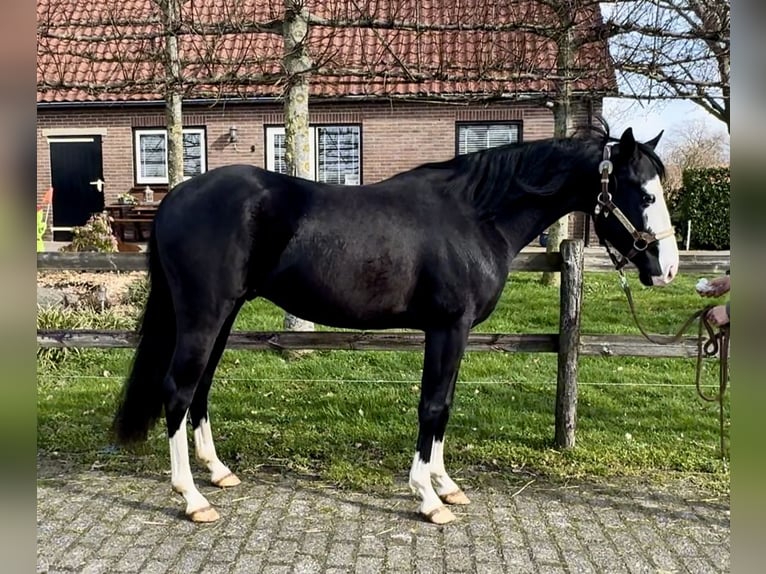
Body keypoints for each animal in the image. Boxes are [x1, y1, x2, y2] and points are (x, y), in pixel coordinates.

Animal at [112, 120, 679, 525]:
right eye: (644, 194)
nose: (667, 267)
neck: (476, 215)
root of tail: (174, 198)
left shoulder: (456, 333)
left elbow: (444, 406)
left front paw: (447, 485)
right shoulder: (448, 327)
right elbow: (433, 406)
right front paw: (428, 498)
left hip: (224, 314)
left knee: (200, 389)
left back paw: (218, 473)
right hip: (204, 314)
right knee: (179, 390)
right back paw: (191, 498)